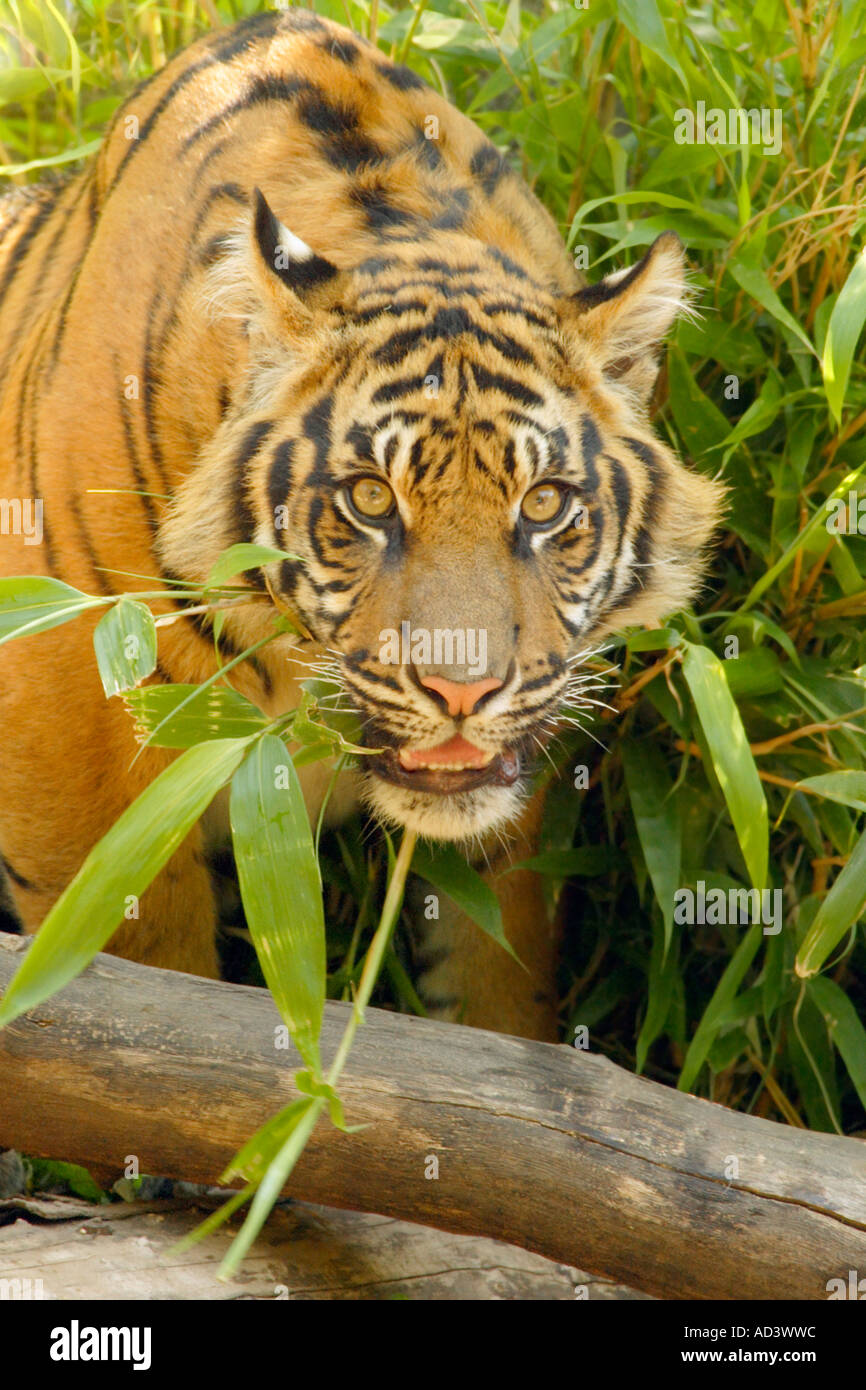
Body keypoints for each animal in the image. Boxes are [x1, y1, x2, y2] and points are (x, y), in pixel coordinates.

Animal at [0, 5, 722, 1039]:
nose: (464, 693)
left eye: (544, 504)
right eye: (371, 499)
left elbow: (501, 982)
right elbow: (134, 975)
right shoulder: (69, 743)